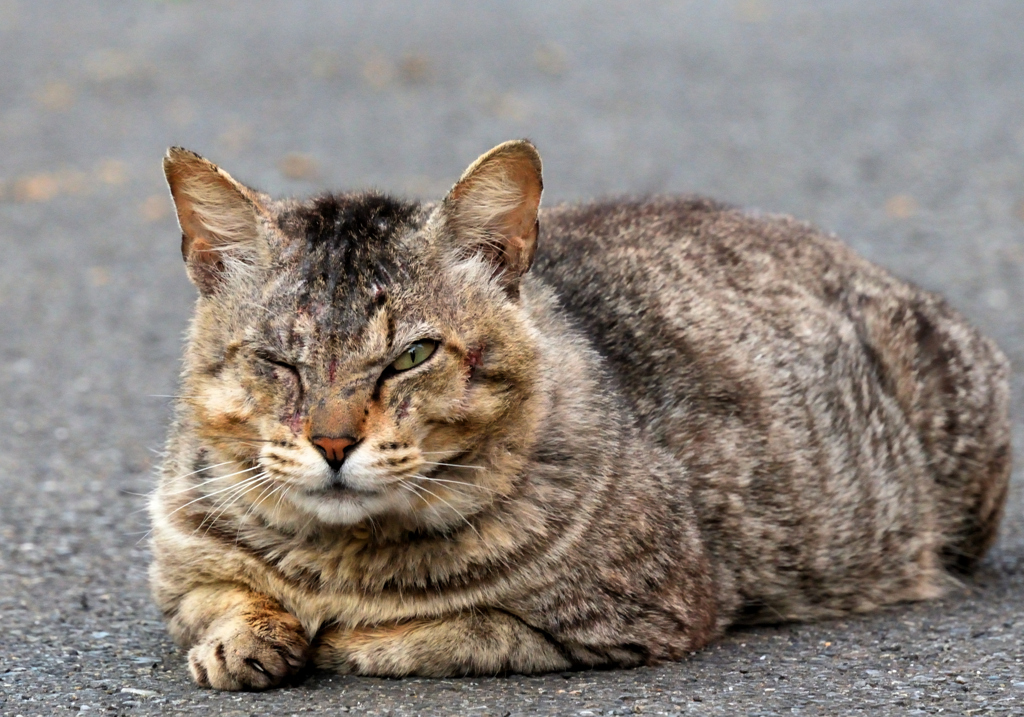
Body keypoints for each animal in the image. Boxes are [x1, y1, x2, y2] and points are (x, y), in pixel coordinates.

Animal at [148, 138, 1011, 688]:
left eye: (412, 356)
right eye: (278, 361)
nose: (332, 441)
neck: (339, 555)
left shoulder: (641, 615)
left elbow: (450, 630)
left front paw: (343, 635)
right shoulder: (179, 561)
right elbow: (219, 596)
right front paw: (245, 635)